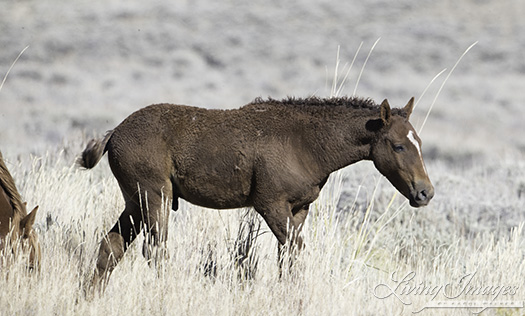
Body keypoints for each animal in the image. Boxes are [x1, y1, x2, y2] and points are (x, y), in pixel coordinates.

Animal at [80, 95, 432, 288]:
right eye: (398, 146)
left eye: (420, 142)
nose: (425, 192)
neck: (308, 144)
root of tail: (114, 133)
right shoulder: (270, 204)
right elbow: (294, 251)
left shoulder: (299, 209)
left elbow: (288, 257)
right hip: (154, 196)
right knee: (155, 251)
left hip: (135, 201)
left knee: (111, 247)